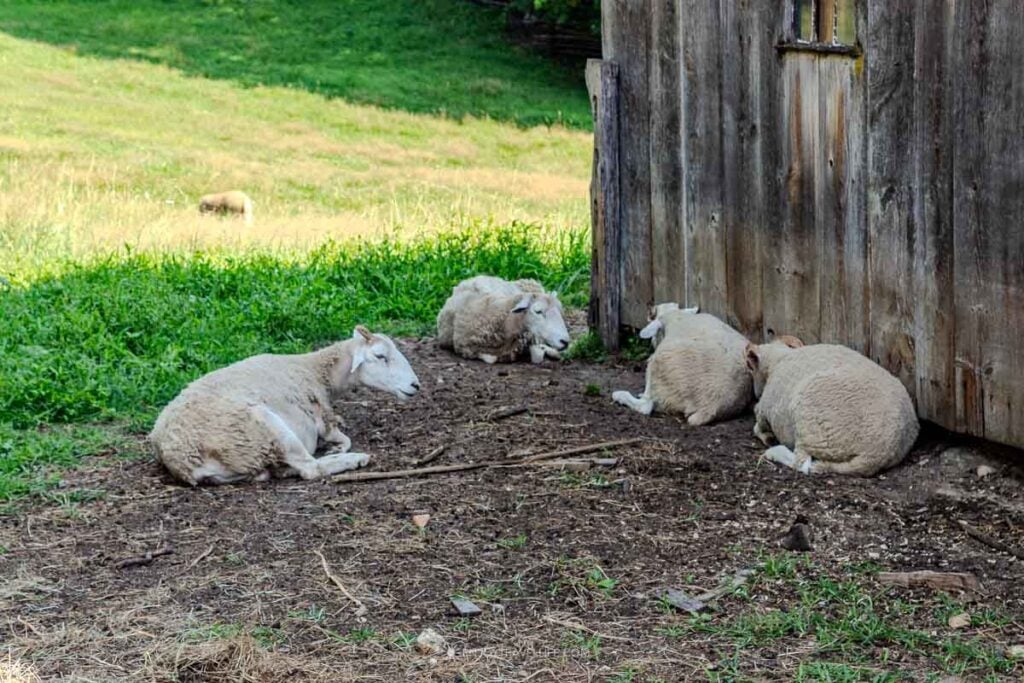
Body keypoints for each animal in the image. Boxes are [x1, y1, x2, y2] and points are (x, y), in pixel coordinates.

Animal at [149, 326, 420, 486]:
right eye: (380, 356)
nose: (415, 385)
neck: (315, 370)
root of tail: (182, 460)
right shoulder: (322, 418)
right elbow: (342, 438)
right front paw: (338, 449)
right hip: (267, 429)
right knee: (310, 469)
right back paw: (356, 460)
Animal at [744, 338, 919, 476]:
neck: (780, 359)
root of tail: (875, 455)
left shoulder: (764, 409)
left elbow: (757, 426)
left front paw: (767, 437)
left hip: (811, 426)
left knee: (802, 464)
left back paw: (774, 452)